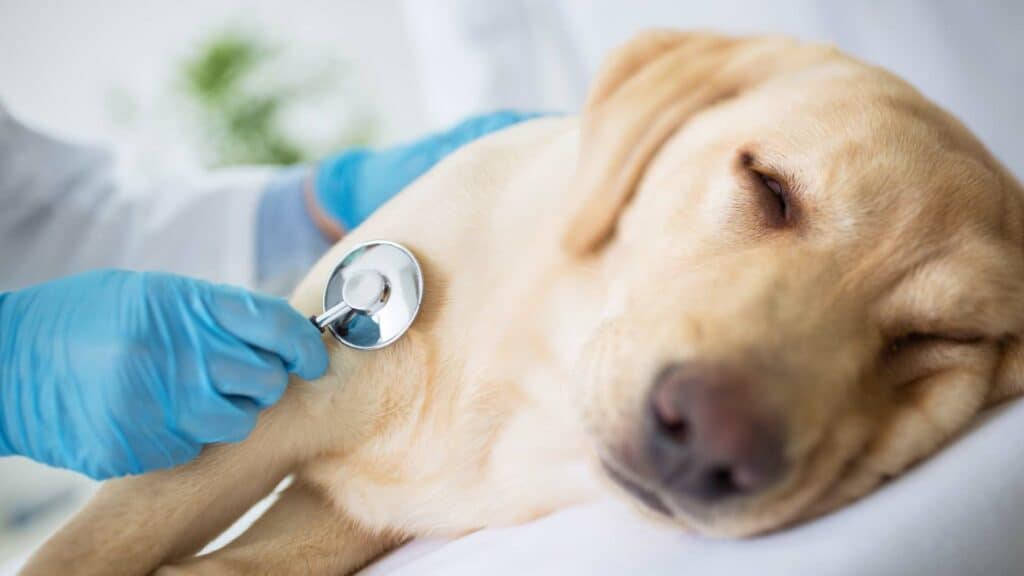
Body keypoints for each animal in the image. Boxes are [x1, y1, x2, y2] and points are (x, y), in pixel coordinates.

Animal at [22, 30, 1024, 573]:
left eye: (937, 335)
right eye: (770, 189)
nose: (709, 442)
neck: (516, 398)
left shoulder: (342, 519)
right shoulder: (256, 419)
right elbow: (83, 549)